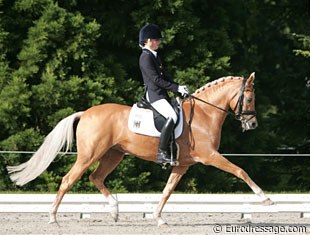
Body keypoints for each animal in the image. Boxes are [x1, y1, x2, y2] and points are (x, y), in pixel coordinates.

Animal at [7, 72, 274, 226]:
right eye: (250, 98)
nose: (252, 124)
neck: (204, 115)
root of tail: (86, 113)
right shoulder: (210, 156)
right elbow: (240, 171)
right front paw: (265, 199)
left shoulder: (183, 165)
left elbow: (167, 191)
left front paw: (158, 217)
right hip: (89, 155)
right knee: (68, 179)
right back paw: (52, 218)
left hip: (113, 155)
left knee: (96, 177)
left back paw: (115, 211)